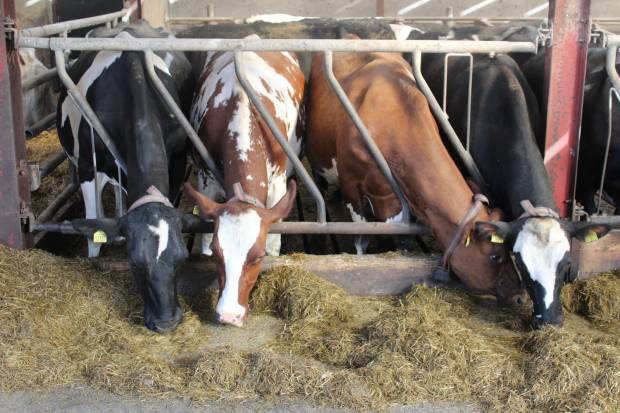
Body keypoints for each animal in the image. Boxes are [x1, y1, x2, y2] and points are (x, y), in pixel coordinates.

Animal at [58, 20, 195, 334]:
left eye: (182, 258)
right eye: (134, 263)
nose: (167, 323)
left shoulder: (178, 160)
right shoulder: (87, 167)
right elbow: (93, 231)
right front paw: (94, 259)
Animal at [184, 36, 306, 326]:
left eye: (257, 256)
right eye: (218, 252)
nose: (229, 315)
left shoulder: (277, 186)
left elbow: (275, 242)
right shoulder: (206, 179)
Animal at [306, 48, 524, 304]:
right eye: (495, 255)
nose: (520, 295)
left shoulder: (392, 199)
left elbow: (400, 238)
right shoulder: (352, 188)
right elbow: (361, 237)